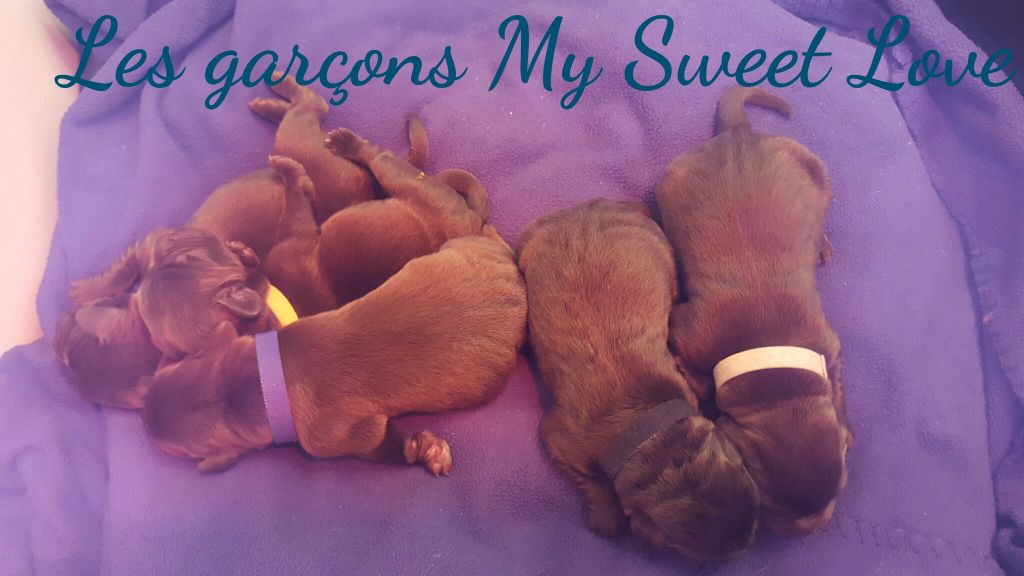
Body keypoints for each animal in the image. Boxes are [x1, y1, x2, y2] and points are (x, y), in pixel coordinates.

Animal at [141, 229, 527, 474]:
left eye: (182, 453)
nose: (160, 238)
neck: (264, 382)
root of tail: (512, 281)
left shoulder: (333, 436)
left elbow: (379, 441)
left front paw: (423, 449)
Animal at [516, 199, 760, 559]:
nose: (752, 538)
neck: (644, 424)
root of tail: (595, 208)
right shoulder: (559, 439)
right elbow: (592, 481)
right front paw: (606, 517)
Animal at [656, 87, 852, 535]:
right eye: (767, 501)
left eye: (840, 484)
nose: (811, 528)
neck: (769, 348)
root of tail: (740, 135)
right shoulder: (689, 331)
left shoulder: (826, 339)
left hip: (813, 168)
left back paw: (821, 244)